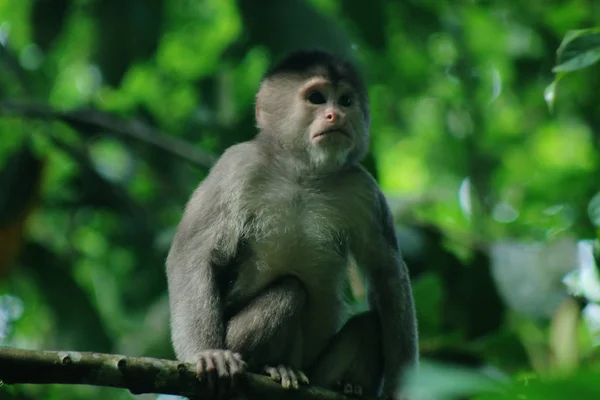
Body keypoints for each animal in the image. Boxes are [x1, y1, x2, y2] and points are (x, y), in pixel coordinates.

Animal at [164, 50, 418, 400]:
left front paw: (401, 388)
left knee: (369, 324)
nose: (335, 116)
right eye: (317, 98)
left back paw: (347, 386)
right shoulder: (237, 165)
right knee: (290, 290)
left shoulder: (363, 189)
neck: (303, 173)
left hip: (318, 371)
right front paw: (207, 353)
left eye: (346, 100)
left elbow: (387, 272)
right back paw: (273, 367)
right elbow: (193, 253)